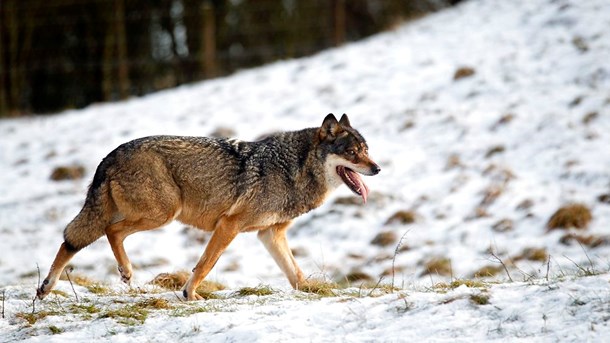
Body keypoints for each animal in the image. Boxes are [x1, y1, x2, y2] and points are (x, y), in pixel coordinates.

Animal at [35, 113, 378, 300]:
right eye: (352, 152)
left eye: (366, 150)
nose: (377, 168)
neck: (293, 169)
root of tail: (111, 154)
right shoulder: (229, 225)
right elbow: (205, 264)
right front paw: (189, 294)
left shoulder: (270, 234)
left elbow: (295, 274)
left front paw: (312, 291)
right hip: (162, 213)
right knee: (109, 231)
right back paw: (126, 271)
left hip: (132, 213)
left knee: (71, 240)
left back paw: (46, 288)